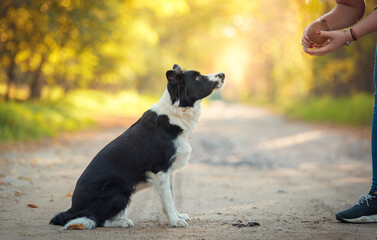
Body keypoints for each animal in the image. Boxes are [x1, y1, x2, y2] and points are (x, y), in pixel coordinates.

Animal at [51, 64, 225, 230]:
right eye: (197, 77)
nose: (223, 74)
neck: (175, 113)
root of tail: (72, 209)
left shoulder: (168, 173)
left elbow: (171, 198)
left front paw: (177, 216)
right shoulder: (161, 170)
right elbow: (169, 200)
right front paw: (175, 222)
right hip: (120, 191)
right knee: (97, 220)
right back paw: (122, 222)